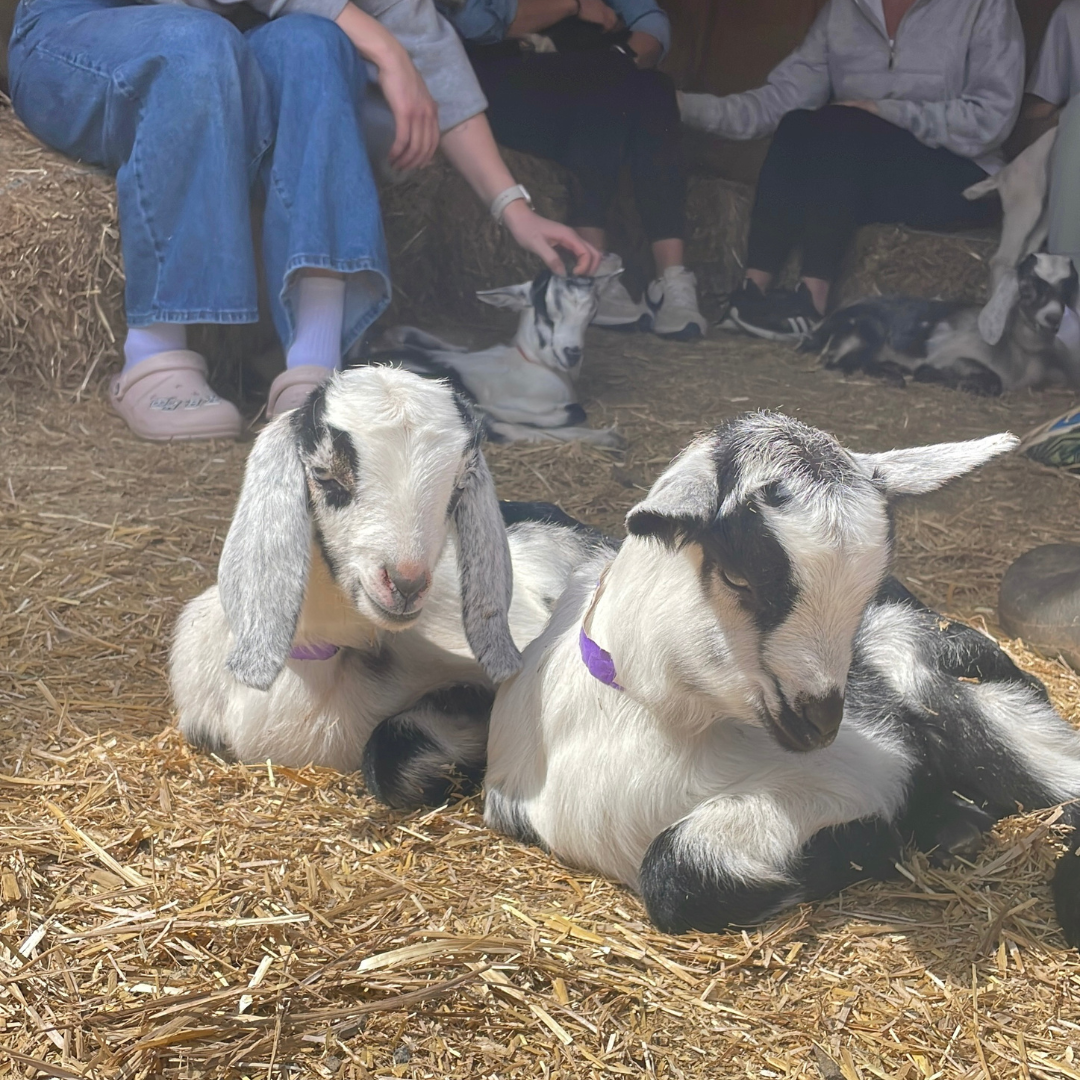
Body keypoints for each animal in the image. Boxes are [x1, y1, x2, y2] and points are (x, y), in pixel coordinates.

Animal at [365, 269, 626, 448]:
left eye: (592, 312)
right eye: (546, 314)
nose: (571, 353)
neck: (531, 362)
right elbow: (575, 410)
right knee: (501, 429)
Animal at [484, 413, 1080, 946]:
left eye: (867, 588)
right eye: (738, 576)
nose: (822, 718)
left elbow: (678, 866)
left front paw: (906, 832)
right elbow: (682, 869)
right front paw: (910, 832)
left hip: (927, 664)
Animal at [801, 254, 1080, 395]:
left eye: (1067, 290)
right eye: (1027, 287)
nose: (1053, 318)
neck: (1018, 351)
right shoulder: (948, 354)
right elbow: (991, 381)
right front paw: (944, 378)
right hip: (866, 332)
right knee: (837, 362)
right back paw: (894, 375)